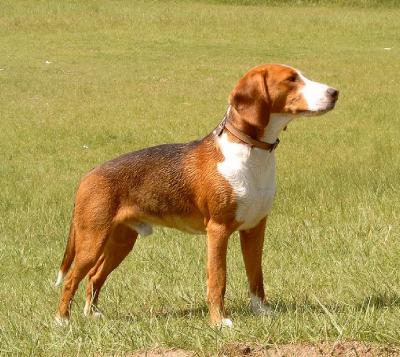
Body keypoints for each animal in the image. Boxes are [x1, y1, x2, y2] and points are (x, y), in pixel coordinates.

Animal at [54, 63, 338, 326]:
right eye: (291, 79)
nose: (335, 92)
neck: (250, 152)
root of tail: (88, 175)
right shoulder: (218, 230)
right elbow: (218, 279)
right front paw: (218, 322)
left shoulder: (255, 228)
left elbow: (256, 275)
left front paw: (262, 311)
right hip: (92, 241)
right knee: (72, 279)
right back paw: (62, 321)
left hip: (121, 242)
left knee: (94, 276)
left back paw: (92, 314)